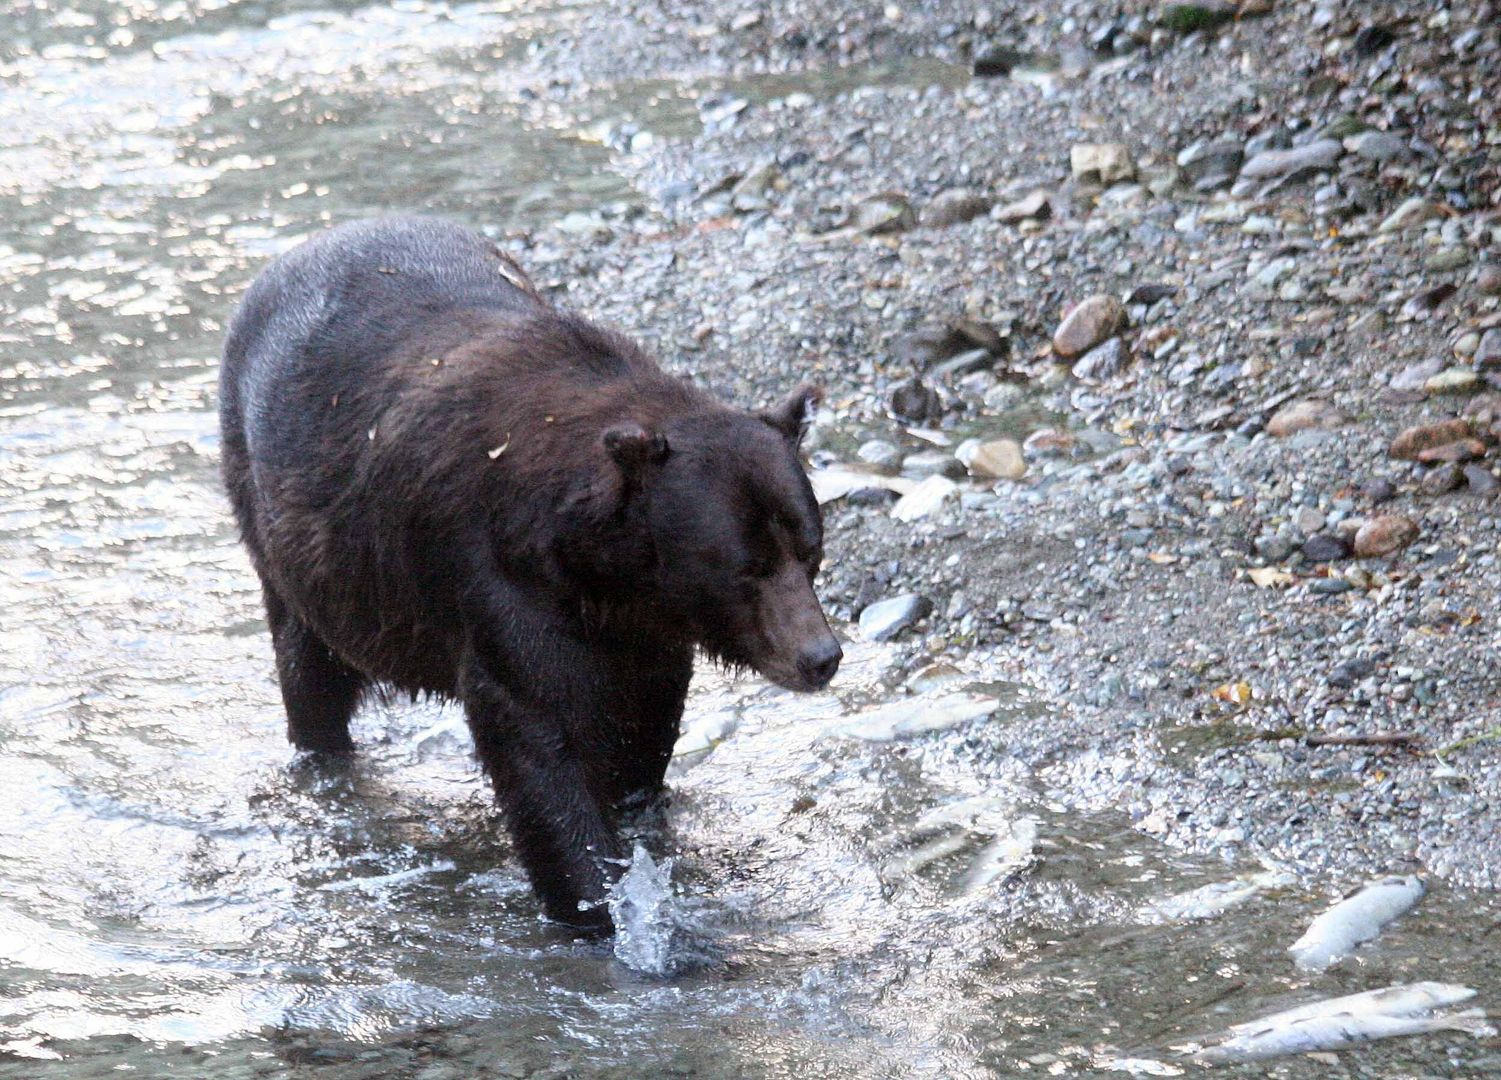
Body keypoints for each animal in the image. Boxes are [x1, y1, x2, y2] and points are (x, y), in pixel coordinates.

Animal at [217, 214, 840, 930]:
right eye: (746, 567)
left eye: (811, 550)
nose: (820, 656)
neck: (604, 573)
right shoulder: (501, 584)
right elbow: (538, 745)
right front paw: (600, 905)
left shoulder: (640, 633)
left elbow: (644, 724)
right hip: (293, 544)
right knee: (310, 669)